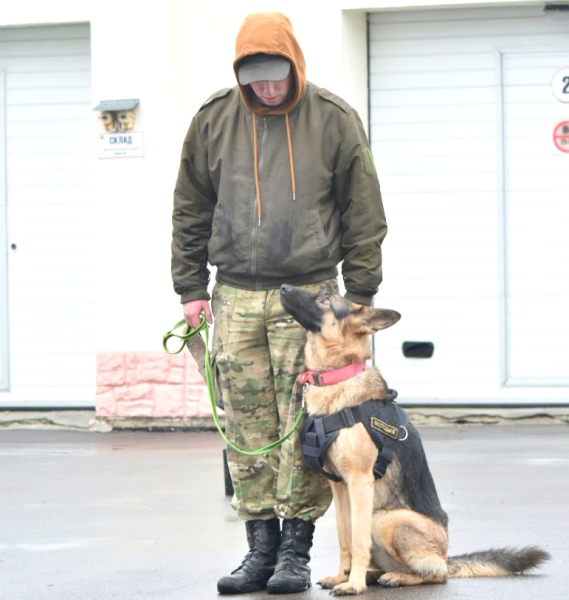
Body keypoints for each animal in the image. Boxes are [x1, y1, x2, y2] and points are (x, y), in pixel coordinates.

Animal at [280, 284, 552, 596]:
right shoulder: (339, 487)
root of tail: (446, 555)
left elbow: (358, 540)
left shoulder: (359, 482)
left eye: (325, 298)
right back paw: (378, 575)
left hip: (386, 519)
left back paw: (395, 577)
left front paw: (354, 584)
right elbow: (345, 537)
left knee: (435, 574)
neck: (338, 377)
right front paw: (343, 577)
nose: (283, 287)